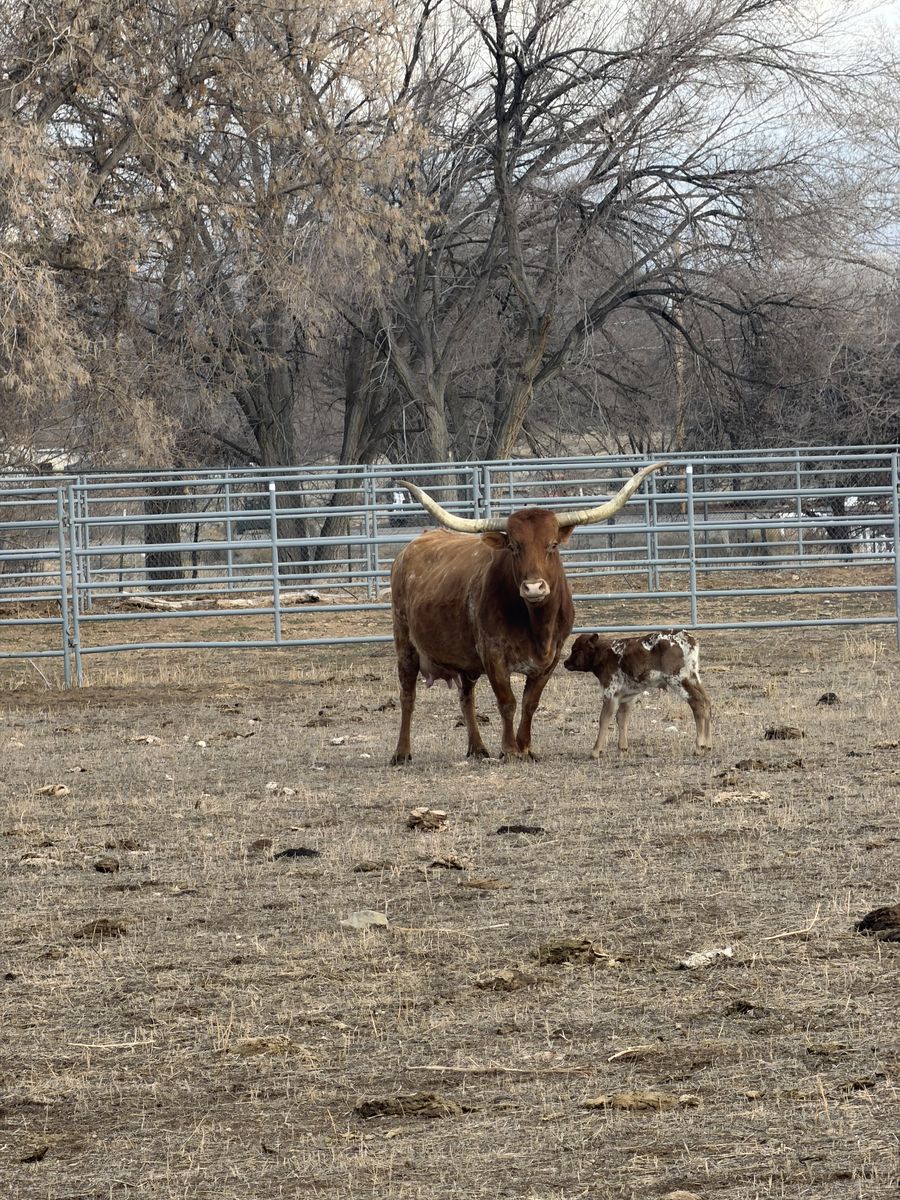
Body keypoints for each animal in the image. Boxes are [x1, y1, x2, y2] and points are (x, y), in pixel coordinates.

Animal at [388, 464, 664, 764]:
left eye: (552, 544)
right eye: (514, 546)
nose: (533, 587)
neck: (536, 625)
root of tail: (411, 547)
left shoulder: (552, 657)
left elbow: (531, 703)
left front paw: (526, 747)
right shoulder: (493, 655)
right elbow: (507, 702)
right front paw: (509, 749)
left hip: (465, 660)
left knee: (466, 697)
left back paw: (477, 748)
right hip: (405, 643)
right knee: (408, 696)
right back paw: (401, 752)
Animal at [563, 630, 712, 757]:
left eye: (576, 649)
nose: (565, 662)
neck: (605, 654)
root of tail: (687, 636)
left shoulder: (610, 692)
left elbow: (604, 719)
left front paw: (595, 751)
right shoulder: (628, 696)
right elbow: (621, 718)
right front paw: (623, 749)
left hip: (678, 679)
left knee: (697, 703)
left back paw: (699, 747)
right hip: (694, 679)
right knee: (706, 701)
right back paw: (708, 745)